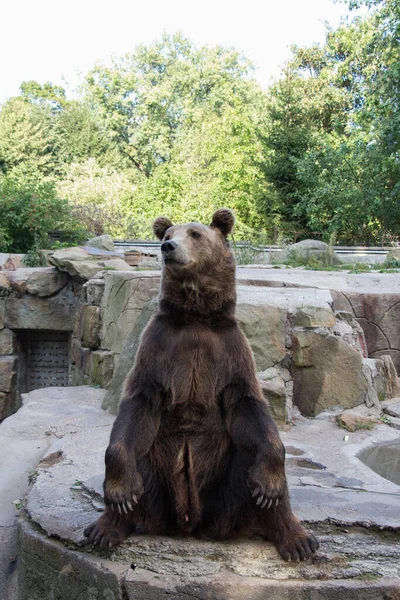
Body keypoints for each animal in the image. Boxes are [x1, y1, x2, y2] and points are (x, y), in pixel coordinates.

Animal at [85, 209, 318, 560]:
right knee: (137, 452)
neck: (196, 317)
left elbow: (249, 405)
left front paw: (271, 483)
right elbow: (138, 403)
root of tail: (189, 523)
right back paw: (105, 526)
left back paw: (297, 538)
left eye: (195, 233)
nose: (168, 247)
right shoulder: (159, 346)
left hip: (225, 497)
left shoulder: (230, 352)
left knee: (252, 462)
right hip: (158, 486)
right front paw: (119, 492)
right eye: (169, 233)